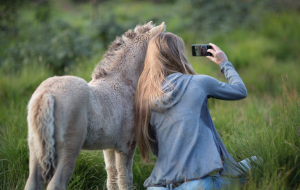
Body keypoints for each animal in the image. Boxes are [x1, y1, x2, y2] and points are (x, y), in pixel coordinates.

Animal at [25, 21, 166, 190]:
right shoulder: (126, 146)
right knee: (56, 184)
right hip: (68, 150)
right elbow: (125, 179)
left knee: (31, 182)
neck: (124, 82)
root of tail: (48, 93)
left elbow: (112, 177)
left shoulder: (109, 147)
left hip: (36, 147)